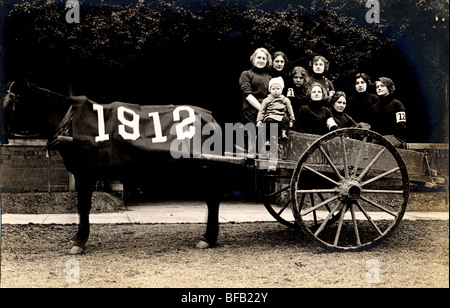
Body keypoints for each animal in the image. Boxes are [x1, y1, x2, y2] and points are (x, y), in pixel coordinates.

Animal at [4, 81, 236, 253]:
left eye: (10, 100)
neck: (70, 124)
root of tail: (210, 117)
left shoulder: (85, 173)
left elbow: (83, 206)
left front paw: (79, 240)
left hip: (204, 168)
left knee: (212, 200)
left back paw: (208, 237)